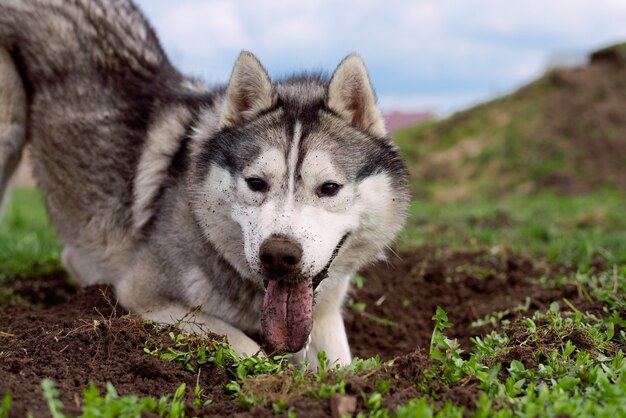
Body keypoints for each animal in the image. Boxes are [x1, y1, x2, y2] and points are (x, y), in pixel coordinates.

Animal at [0, 0, 408, 366]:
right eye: (256, 183)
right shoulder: (143, 296)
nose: (278, 255)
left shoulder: (324, 318)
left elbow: (341, 371)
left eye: (329, 188)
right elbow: (249, 349)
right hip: (9, 134)